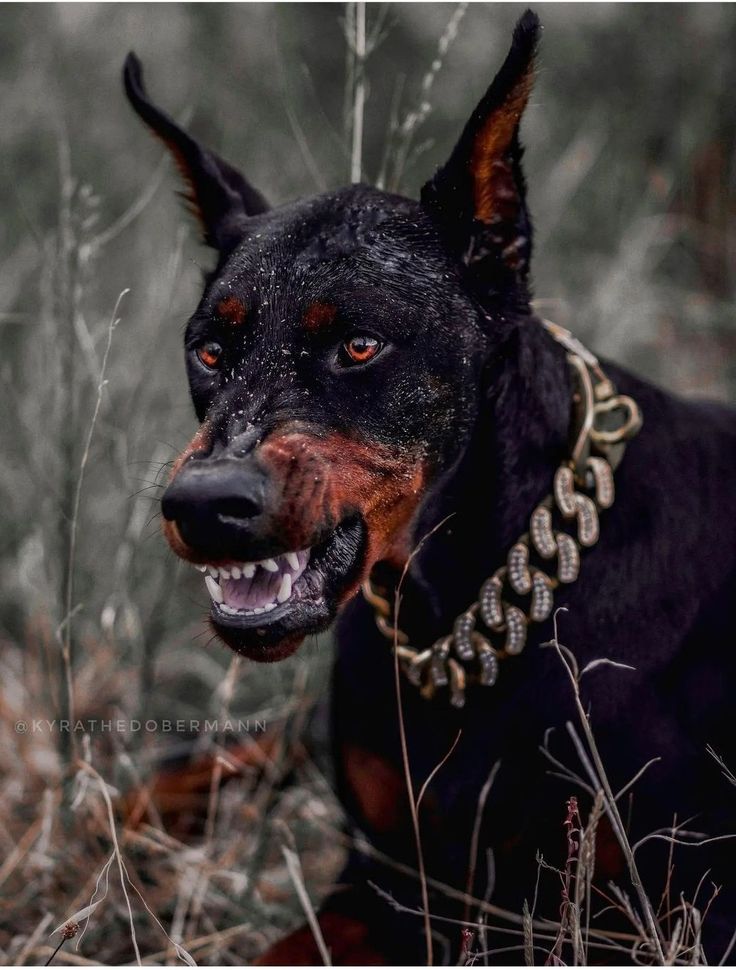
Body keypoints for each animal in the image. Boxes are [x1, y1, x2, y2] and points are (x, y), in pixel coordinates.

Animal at [123, 11, 736, 964]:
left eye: (360, 345)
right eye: (210, 349)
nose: (202, 505)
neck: (449, 615)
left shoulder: (664, 912)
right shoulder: (385, 878)